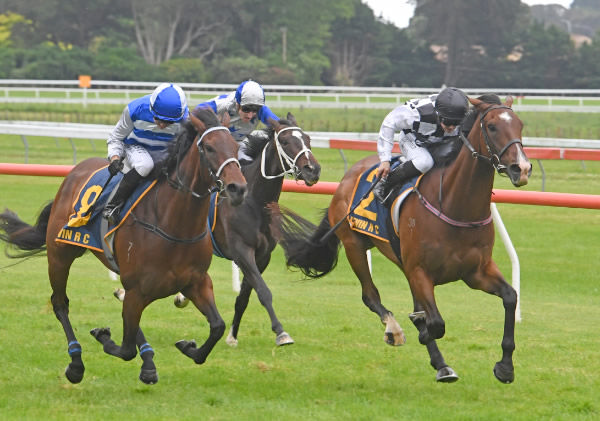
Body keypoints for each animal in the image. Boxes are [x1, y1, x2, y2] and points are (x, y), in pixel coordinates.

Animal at [0, 107, 247, 384]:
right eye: (209, 147)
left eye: (235, 146)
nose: (238, 188)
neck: (173, 225)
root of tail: (75, 171)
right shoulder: (138, 289)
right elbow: (126, 349)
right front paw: (103, 336)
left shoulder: (196, 282)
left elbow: (217, 327)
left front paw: (188, 347)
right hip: (60, 255)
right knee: (60, 302)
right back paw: (76, 363)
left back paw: (148, 361)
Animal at [172, 111, 324, 344]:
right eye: (285, 141)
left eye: (307, 139)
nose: (312, 170)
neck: (255, 202)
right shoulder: (242, 251)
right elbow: (263, 290)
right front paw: (281, 333)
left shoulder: (262, 256)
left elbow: (245, 296)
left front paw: (232, 336)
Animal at [276, 96, 528, 384]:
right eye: (492, 126)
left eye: (520, 125)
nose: (521, 168)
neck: (455, 206)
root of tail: (347, 177)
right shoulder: (420, 271)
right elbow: (435, 323)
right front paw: (419, 330)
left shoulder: (476, 271)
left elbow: (510, 297)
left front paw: (505, 366)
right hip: (354, 245)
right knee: (370, 295)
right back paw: (395, 331)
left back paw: (440, 363)